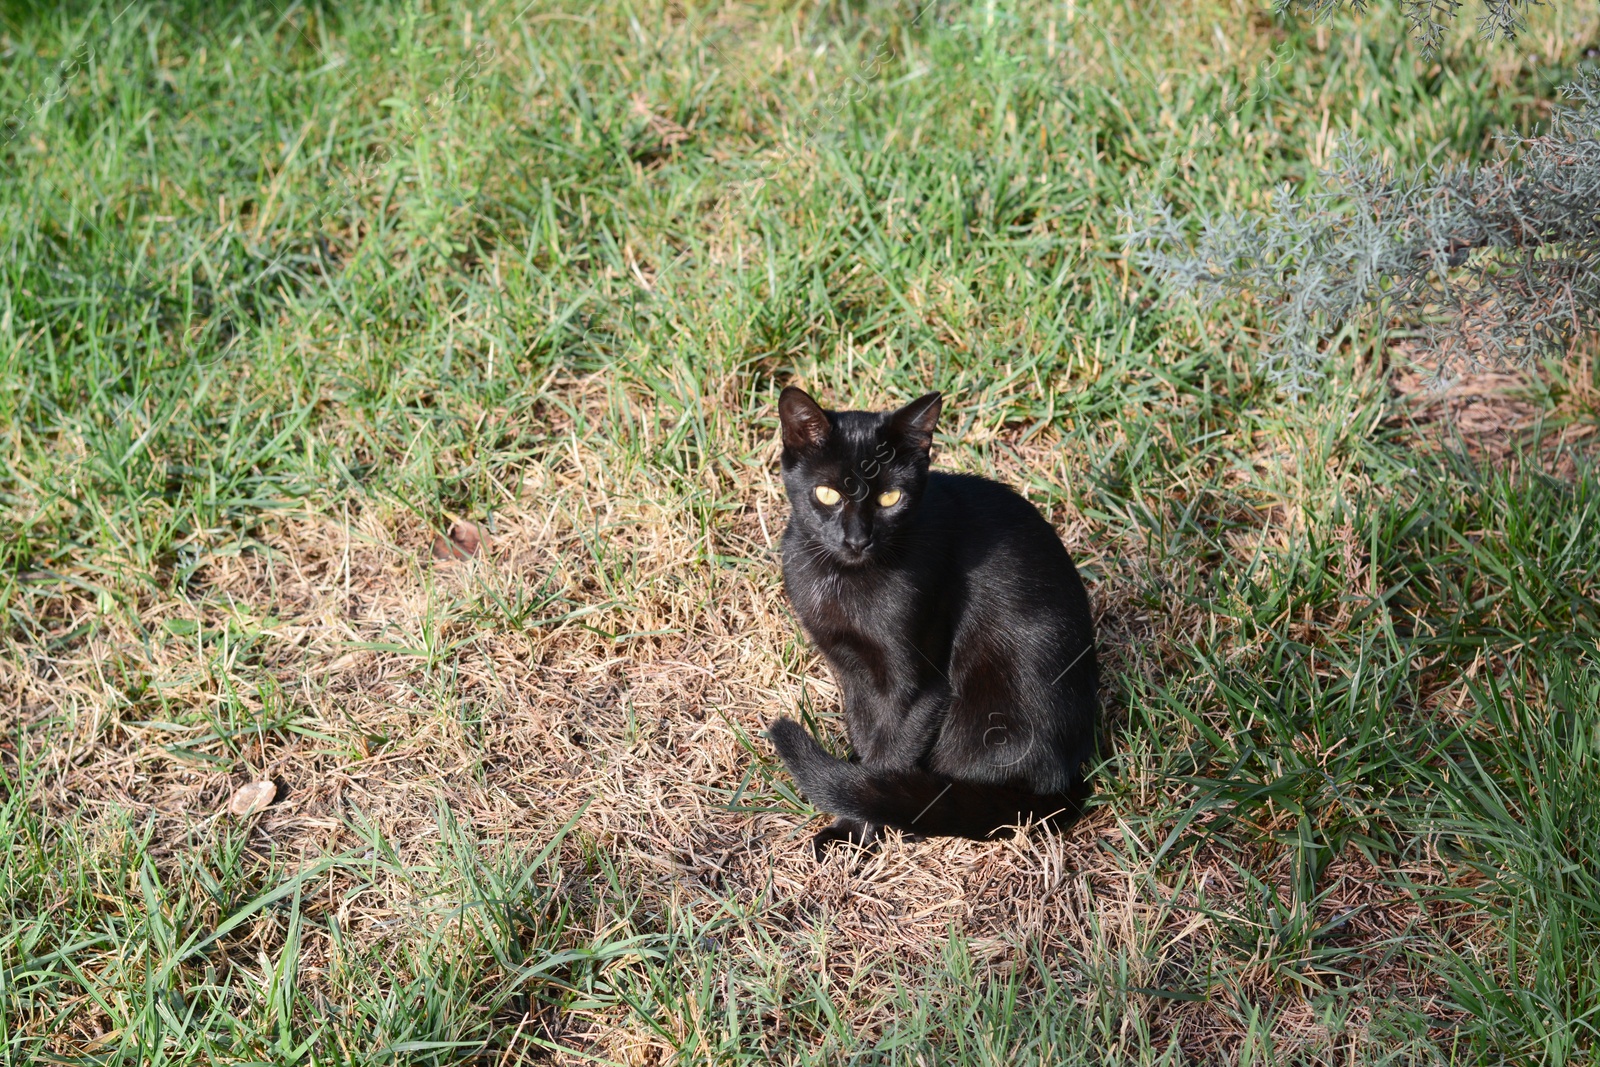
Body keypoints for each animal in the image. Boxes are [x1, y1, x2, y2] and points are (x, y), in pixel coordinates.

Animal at [764, 388, 1100, 857]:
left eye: (890, 498)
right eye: (827, 494)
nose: (857, 539)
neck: (845, 582)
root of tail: (1068, 783)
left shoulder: (921, 686)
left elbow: (886, 759)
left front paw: (855, 831)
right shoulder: (850, 670)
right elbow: (865, 735)